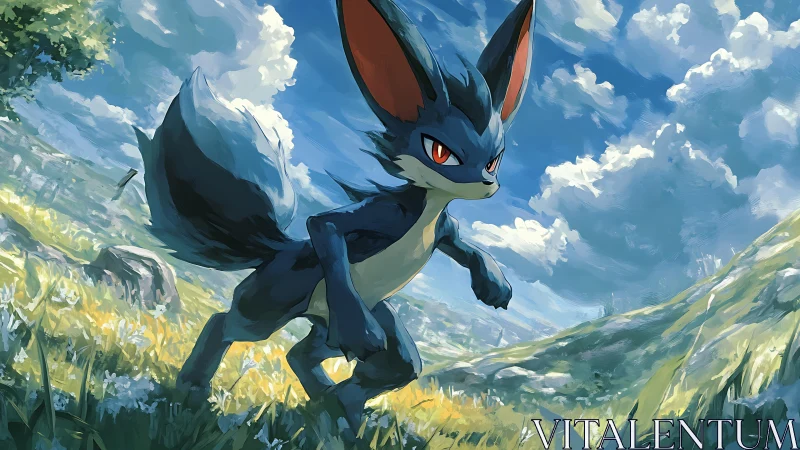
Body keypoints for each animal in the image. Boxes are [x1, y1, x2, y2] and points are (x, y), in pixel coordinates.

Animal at [134, 0, 535, 435]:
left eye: (495, 159)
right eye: (440, 152)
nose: (487, 183)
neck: (428, 209)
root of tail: (278, 251)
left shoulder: (443, 228)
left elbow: (462, 246)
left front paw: (493, 282)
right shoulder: (386, 215)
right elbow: (323, 225)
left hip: (344, 320)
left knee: (358, 359)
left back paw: (337, 407)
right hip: (278, 299)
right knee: (228, 323)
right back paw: (193, 389)